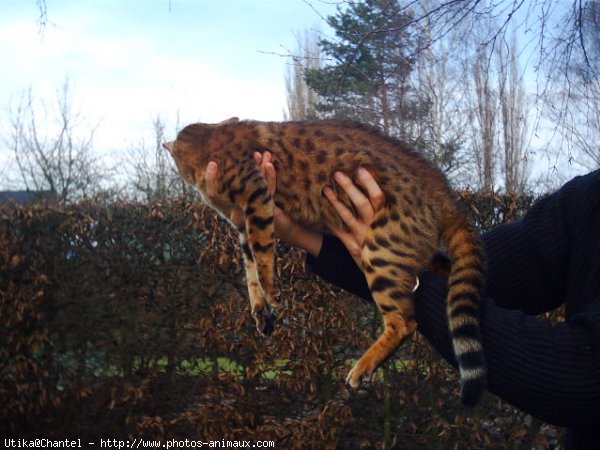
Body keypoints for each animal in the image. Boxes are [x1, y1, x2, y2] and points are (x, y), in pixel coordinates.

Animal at [164, 118, 488, 406]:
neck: (210, 137)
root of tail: (446, 196)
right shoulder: (241, 225)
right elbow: (250, 269)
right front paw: (260, 309)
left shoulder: (256, 199)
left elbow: (262, 256)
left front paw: (270, 293)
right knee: (446, 271)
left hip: (380, 251)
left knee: (404, 322)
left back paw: (363, 367)